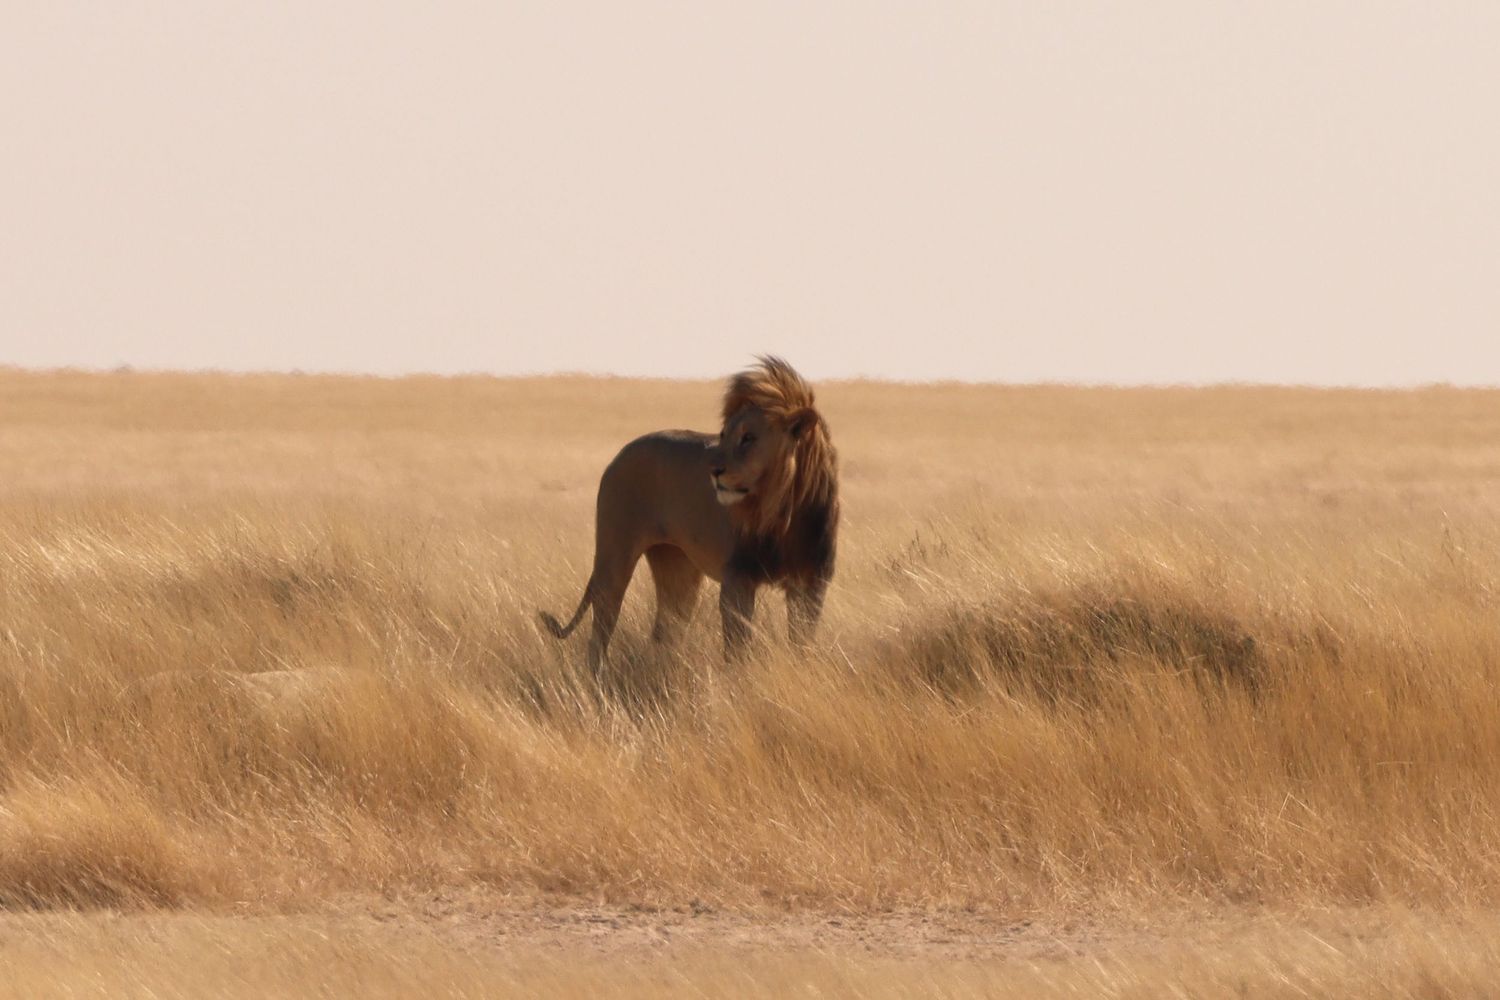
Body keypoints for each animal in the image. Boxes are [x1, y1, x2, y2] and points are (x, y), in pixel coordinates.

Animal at [539, 356, 839, 672]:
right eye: (723, 435)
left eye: (748, 438)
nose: (713, 470)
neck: (781, 511)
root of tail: (619, 454)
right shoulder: (738, 578)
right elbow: (738, 649)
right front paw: (740, 679)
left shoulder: (811, 582)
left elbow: (802, 642)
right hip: (614, 559)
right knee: (600, 634)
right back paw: (598, 678)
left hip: (677, 567)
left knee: (665, 630)